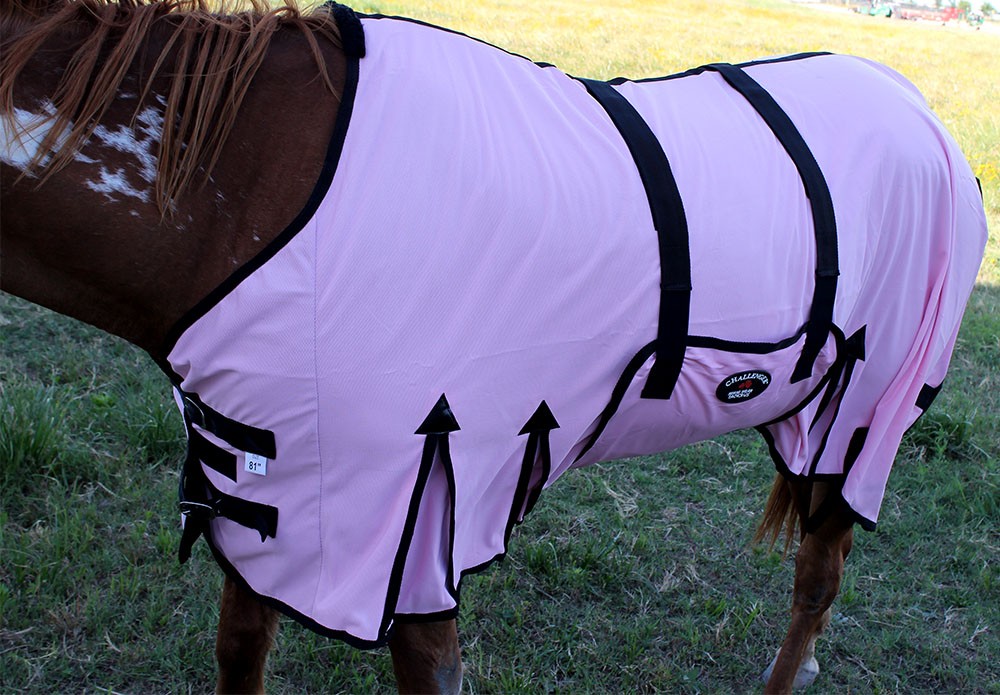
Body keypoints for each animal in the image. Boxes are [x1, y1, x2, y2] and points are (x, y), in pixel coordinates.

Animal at [0, 1, 987, 693]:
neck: (255, 196)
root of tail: (919, 109)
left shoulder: (416, 509)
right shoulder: (265, 487)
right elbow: (240, 649)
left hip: (857, 420)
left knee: (819, 576)